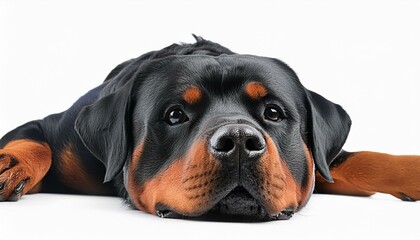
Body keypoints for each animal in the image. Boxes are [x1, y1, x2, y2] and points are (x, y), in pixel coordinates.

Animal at [0, 36, 420, 221]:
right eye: (174, 115)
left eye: (273, 112)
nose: (239, 140)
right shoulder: (60, 132)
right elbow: (37, 142)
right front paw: (10, 163)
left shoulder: (320, 160)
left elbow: (358, 160)